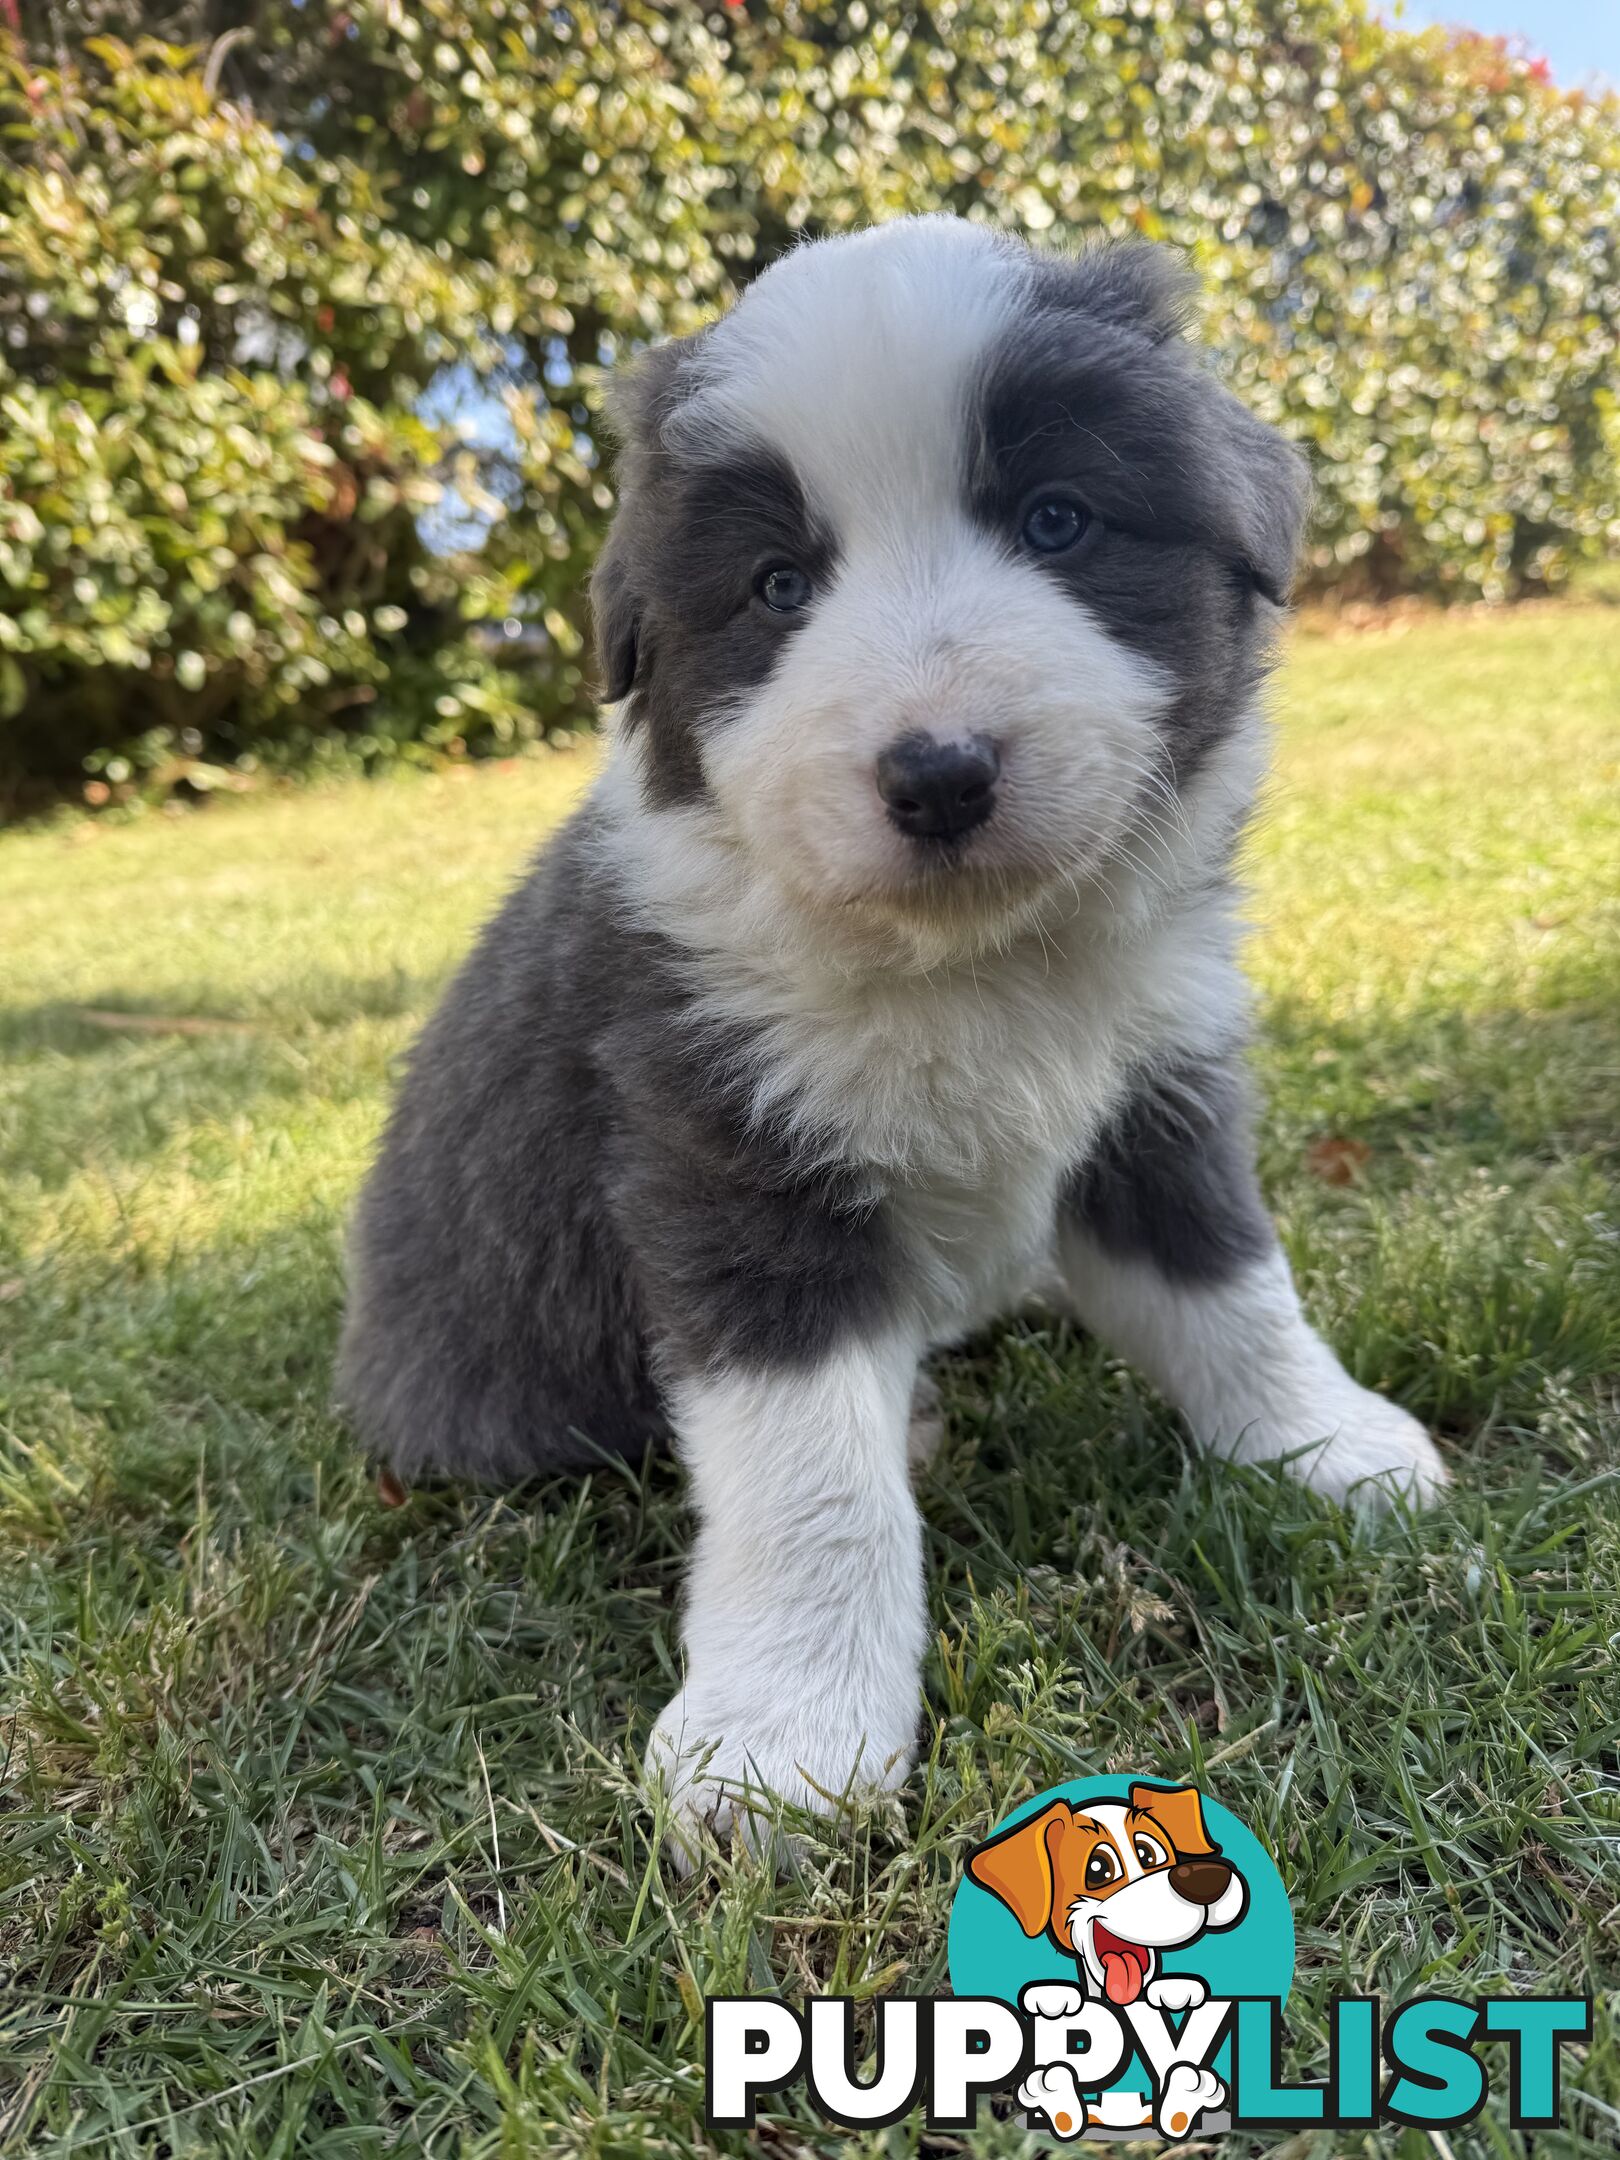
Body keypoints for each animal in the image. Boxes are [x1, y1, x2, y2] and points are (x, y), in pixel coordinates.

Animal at [339, 210, 1442, 1848]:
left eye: (1058, 521)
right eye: (778, 587)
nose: (937, 772)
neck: (970, 967)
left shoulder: (1158, 1095)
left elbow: (1237, 1288)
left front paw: (1331, 1449)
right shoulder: (731, 1163)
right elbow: (811, 1480)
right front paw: (781, 1739)